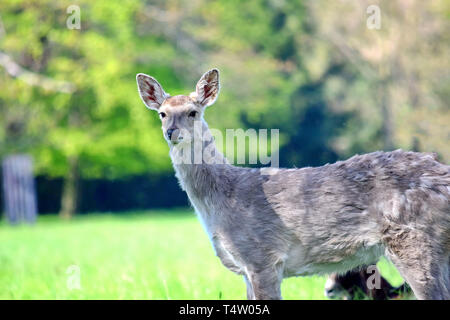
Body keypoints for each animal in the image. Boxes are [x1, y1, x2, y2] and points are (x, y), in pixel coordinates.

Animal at [137, 68, 450, 300]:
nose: (171, 132)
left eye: (193, 112)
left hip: (415, 242)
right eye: (162, 113)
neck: (221, 201)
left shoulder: (262, 256)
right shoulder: (247, 269)